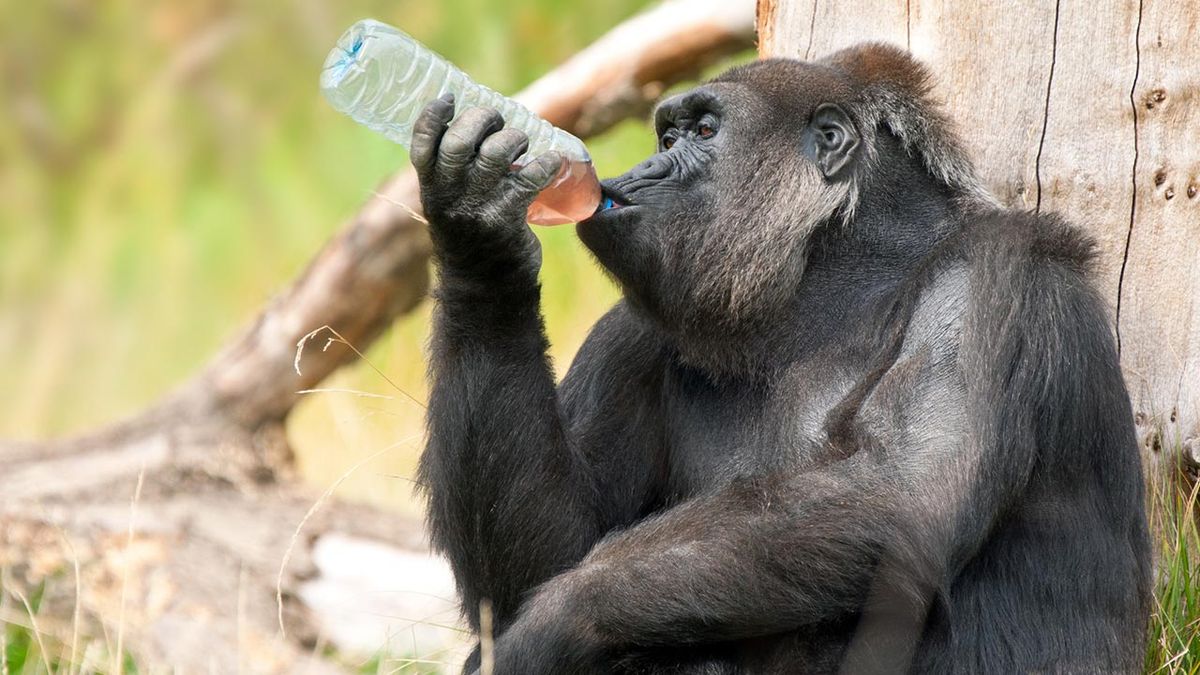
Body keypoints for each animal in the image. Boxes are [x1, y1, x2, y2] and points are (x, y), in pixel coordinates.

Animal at [411, 43, 1152, 674]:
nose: (641, 171)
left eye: (704, 132)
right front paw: (479, 231)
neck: (841, 272)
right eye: (667, 138)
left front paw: (557, 623)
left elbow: (902, 489)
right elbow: (542, 558)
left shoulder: (996, 273)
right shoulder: (632, 332)